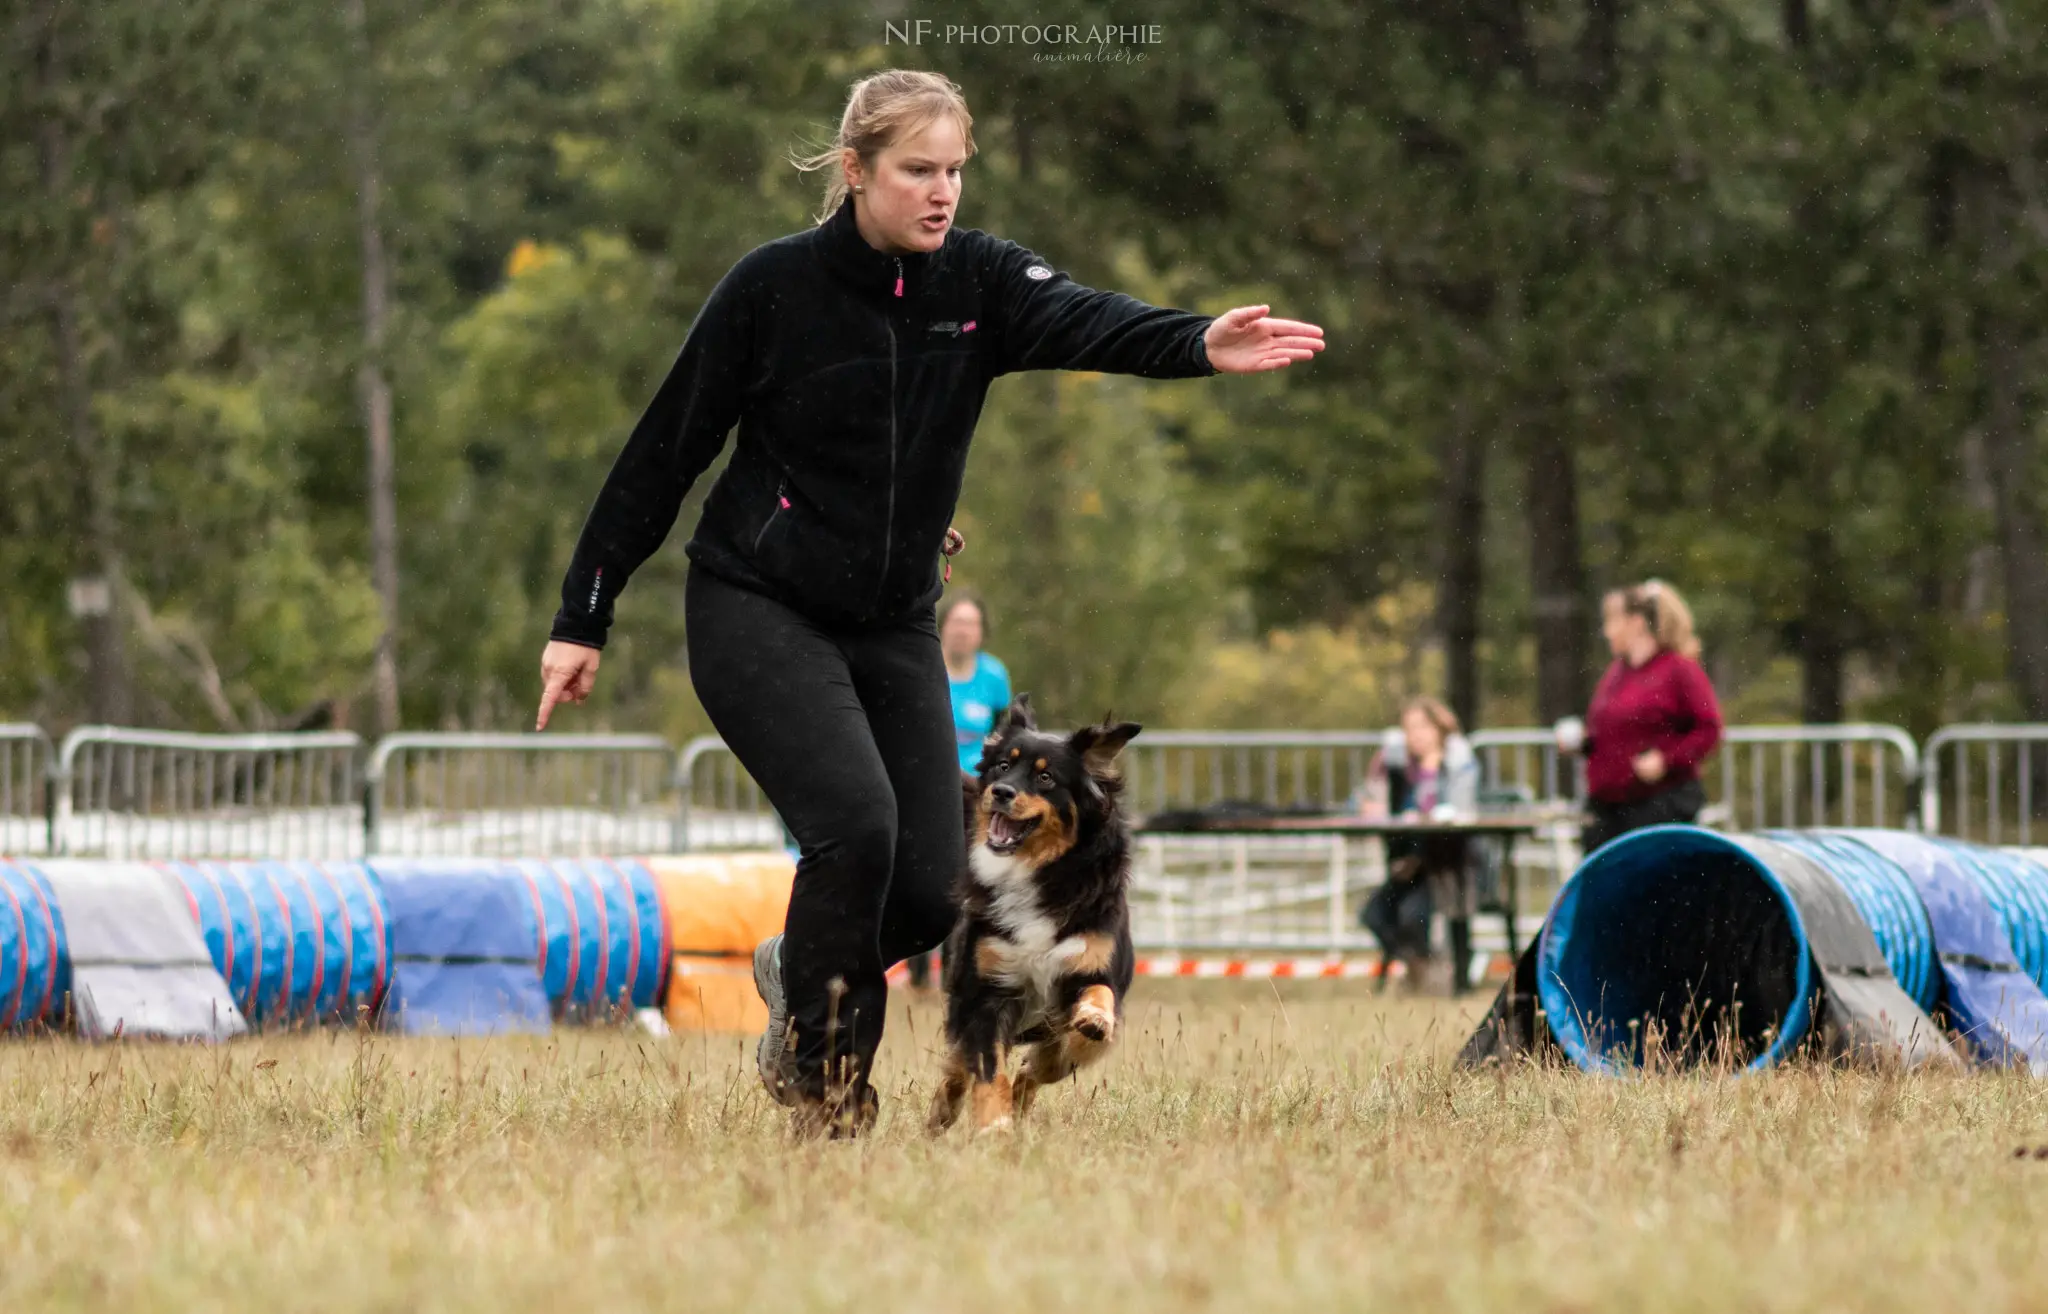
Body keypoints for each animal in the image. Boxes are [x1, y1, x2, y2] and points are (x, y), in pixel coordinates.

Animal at [925, 691, 1138, 1129]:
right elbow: (988, 1069)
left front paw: (1093, 1019)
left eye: (1046, 778)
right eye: (1003, 766)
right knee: (956, 1069)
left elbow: (1083, 1024)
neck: (1037, 870)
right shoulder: (987, 992)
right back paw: (944, 1112)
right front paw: (995, 1125)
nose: (1001, 791)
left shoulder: (1093, 966)